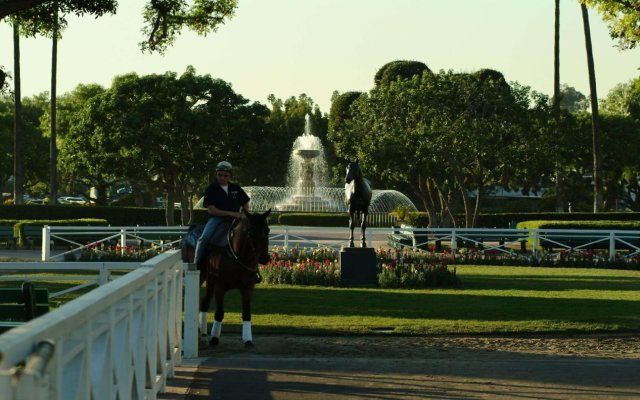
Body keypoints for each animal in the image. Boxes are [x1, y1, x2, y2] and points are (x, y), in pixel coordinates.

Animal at [181, 208, 272, 348]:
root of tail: (192, 229)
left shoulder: (247, 288)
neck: (236, 254)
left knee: (204, 303)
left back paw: (202, 333)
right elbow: (219, 313)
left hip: (210, 282)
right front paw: (214, 338)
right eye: (251, 231)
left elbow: (247, 314)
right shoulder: (220, 287)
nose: (264, 258)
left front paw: (248, 340)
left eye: (267, 230)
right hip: (200, 278)